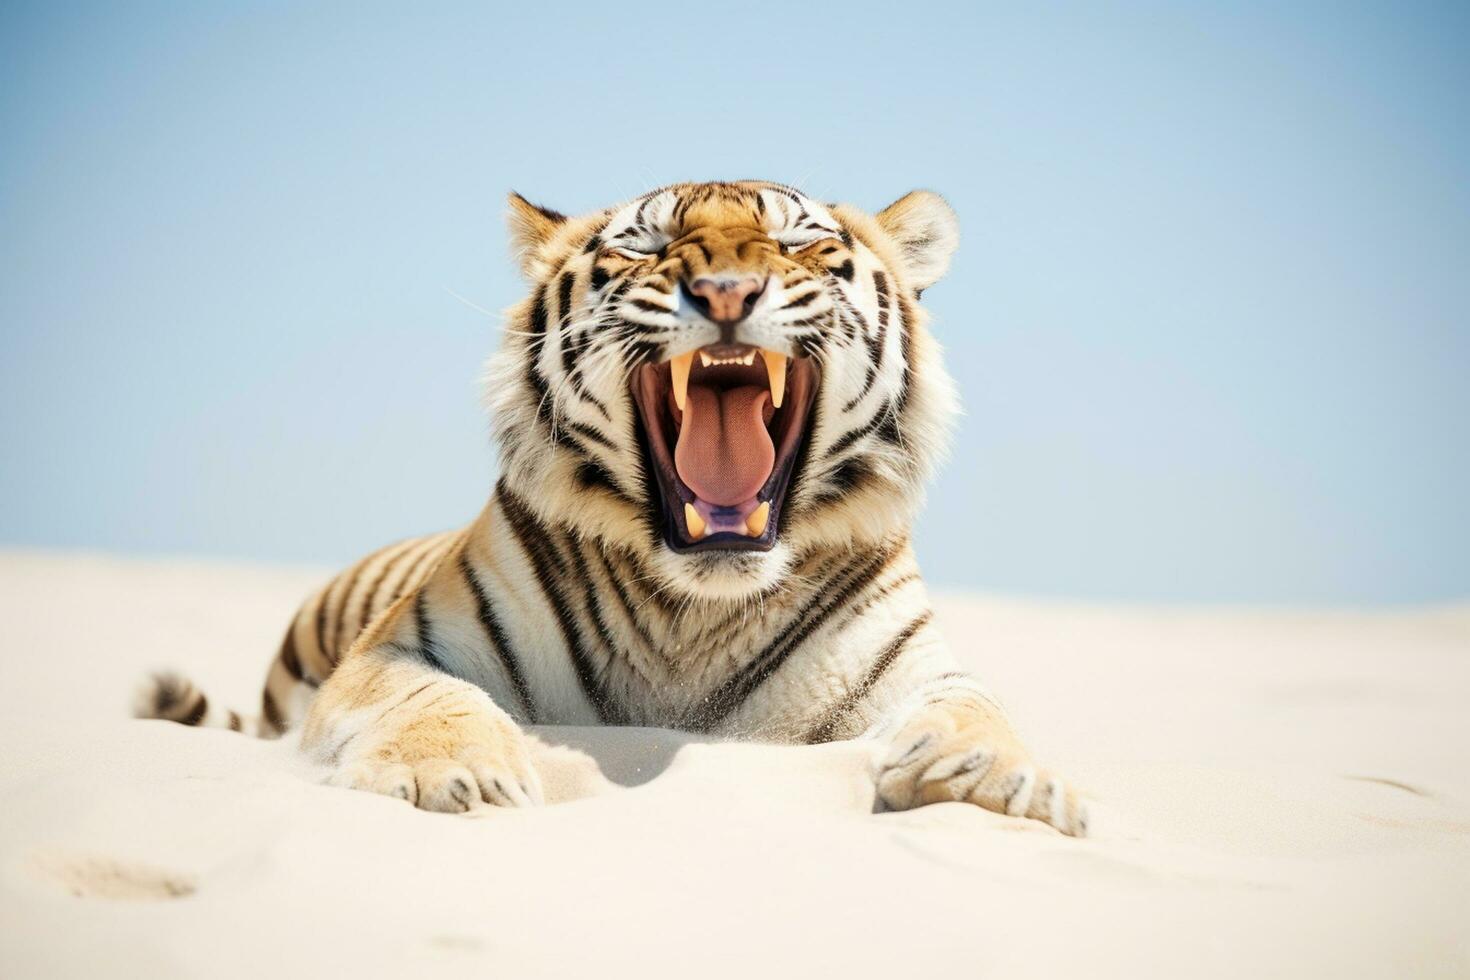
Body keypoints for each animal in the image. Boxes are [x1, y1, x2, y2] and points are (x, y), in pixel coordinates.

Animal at [138, 178, 1087, 834]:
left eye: (795, 243)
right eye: (649, 246)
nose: (729, 290)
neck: (697, 613)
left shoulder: (915, 668)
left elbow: (977, 708)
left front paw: (994, 781)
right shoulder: (402, 648)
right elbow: (430, 700)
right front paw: (442, 777)